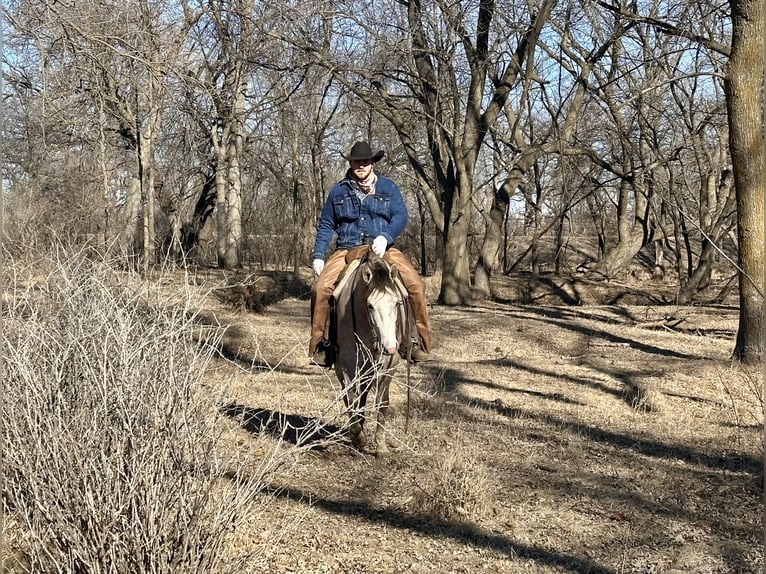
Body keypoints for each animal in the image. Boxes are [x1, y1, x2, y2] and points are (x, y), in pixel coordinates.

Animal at [334, 250, 412, 456]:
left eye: (397, 303)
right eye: (370, 305)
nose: (389, 346)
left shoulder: (390, 364)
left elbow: (382, 401)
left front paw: (381, 446)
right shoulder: (348, 362)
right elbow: (350, 397)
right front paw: (359, 437)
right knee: (351, 396)